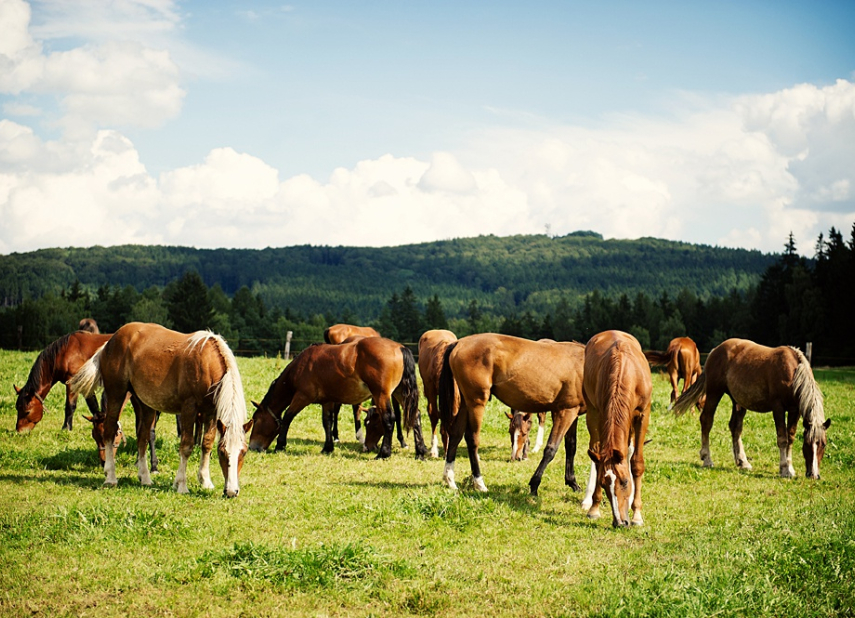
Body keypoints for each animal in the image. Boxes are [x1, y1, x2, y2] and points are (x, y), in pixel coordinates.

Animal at [68, 322, 252, 496]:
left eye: (243, 452)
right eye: (222, 453)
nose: (231, 492)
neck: (206, 363)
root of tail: (110, 342)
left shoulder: (211, 413)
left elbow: (206, 444)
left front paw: (205, 481)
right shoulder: (189, 409)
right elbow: (186, 446)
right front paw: (181, 485)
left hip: (145, 403)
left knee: (142, 438)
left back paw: (145, 477)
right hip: (116, 394)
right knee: (109, 431)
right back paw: (111, 477)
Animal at [247, 334, 428, 460]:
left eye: (256, 420)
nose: (252, 447)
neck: (301, 367)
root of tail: (400, 348)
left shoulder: (302, 397)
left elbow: (287, 417)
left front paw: (280, 445)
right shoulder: (327, 401)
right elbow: (327, 422)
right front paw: (327, 447)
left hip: (382, 395)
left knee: (389, 419)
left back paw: (384, 453)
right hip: (400, 392)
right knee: (415, 416)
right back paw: (420, 451)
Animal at [442, 332, 588, 496]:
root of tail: (459, 343)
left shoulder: (573, 413)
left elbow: (571, 447)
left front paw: (573, 483)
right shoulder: (564, 413)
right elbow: (551, 448)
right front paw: (534, 485)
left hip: (465, 404)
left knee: (455, 435)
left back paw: (450, 480)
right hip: (476, 403)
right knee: (472, 439)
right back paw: (479, 483)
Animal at [584, 330, 652, 528]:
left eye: (624, 482)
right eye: (604, 484)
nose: (620, 522)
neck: (626, 371)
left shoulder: (643, 414)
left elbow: (636, 463)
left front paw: (637, 514)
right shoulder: (601, 414)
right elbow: (599, 461)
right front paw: (594, 508)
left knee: (628, 450)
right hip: (592, 413)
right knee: (595, 452)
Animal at [672, 336, 832, 476]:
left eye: (823, 444)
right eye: (808, 444)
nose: (813, 475)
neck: (793, 373)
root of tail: (715, 350)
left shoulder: (795, 410)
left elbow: (791, 438)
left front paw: (790, 468)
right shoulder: (778, 408)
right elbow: (782, 438)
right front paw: (784, 469)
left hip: (737, 401)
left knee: (735, 427)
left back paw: (742, 462)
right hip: (714, 392)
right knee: (706, 420)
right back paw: (707, 459)